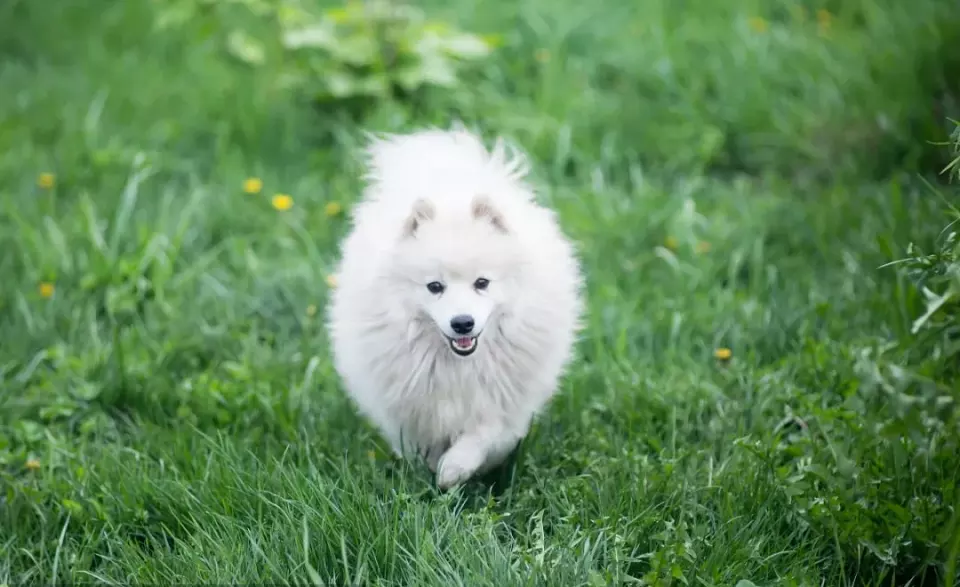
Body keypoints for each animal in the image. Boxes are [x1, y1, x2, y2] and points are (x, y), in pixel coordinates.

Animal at [328, 126, 584, 490]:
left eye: (482, 283)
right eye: (435, 287)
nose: (463, 322)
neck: (457, 364)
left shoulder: (502, 403)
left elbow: (484, 436)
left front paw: (455, 468)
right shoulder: (408, 404)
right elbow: (419, 442)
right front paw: (431, 469)